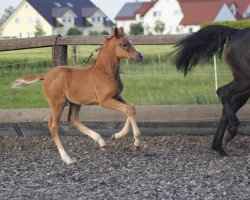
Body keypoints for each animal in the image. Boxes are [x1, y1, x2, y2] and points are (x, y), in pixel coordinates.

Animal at [12, 27, 144, 164]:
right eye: (124, 44)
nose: (140, 56)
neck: (105, 72)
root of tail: (46, 75)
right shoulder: (104, 100)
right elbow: (128, 109)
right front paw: (136, 143)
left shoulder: (116, 96)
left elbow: (131, 108)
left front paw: (116, 136)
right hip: (58, 103)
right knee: (53, 125)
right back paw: (67, 158)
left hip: (75, 102)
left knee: (73, 119)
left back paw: (101, 142)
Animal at [173, 25, 250, 156]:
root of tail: (236, 32)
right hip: (244, 80)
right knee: (222, 92)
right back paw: (231, 130)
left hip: (245, 85)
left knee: (229, 105)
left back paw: (219, 146)